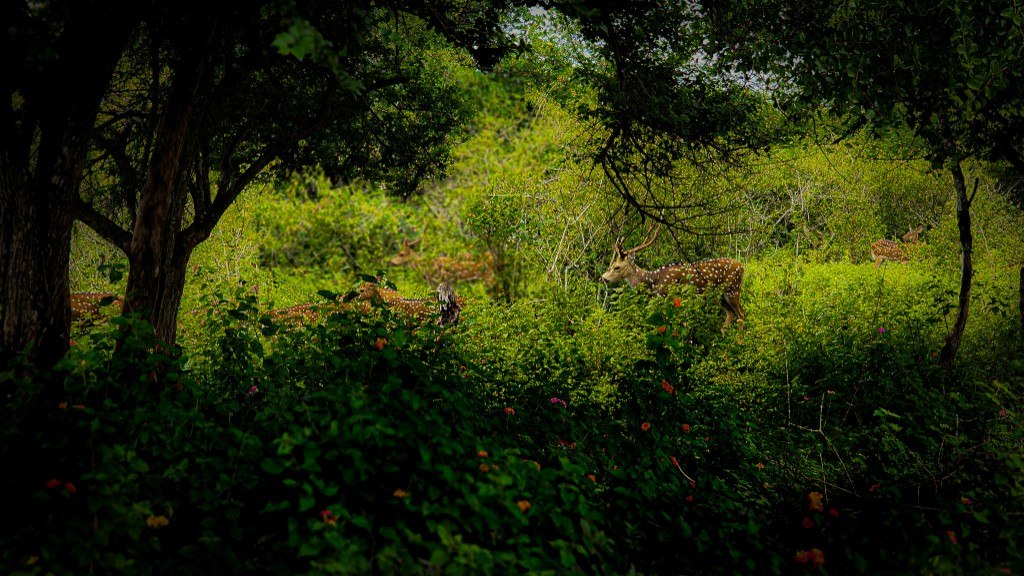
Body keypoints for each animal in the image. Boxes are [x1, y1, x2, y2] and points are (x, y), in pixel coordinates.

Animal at [599, 225, 746, 332]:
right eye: (612, 264)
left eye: (616, 267)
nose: (602, 278)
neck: (653, 282)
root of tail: (742, 266)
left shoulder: (669, 296)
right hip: (719, 296)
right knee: (731, 314)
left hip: (733, 289)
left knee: (741, 313)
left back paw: (739, 343)